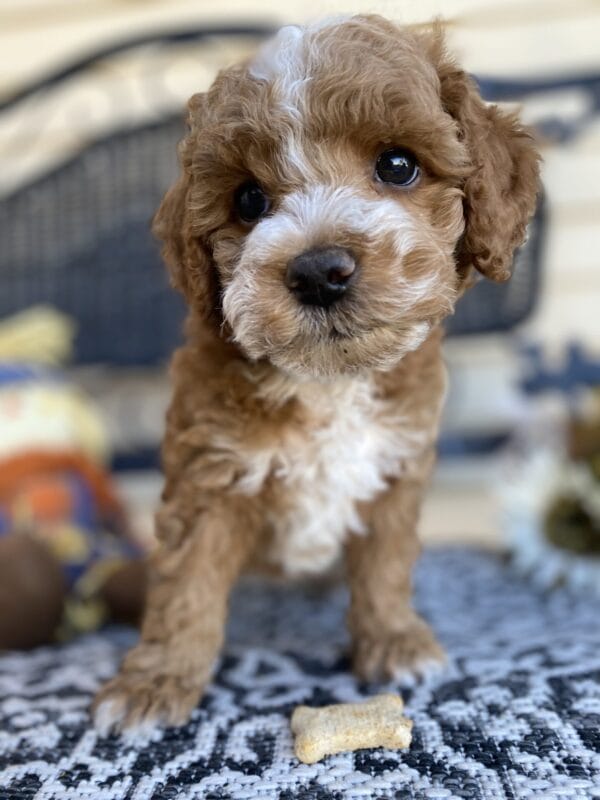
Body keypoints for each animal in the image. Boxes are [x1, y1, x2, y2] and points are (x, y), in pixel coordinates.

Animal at [94, 15, 540, 736]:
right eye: (249, 200)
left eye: (397, 165)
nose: (318, 270)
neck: (329, 381)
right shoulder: (207, 474)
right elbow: (186, 585)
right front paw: (154, 681)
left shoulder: (395, 469)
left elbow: (385, 566)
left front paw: (395, 642)